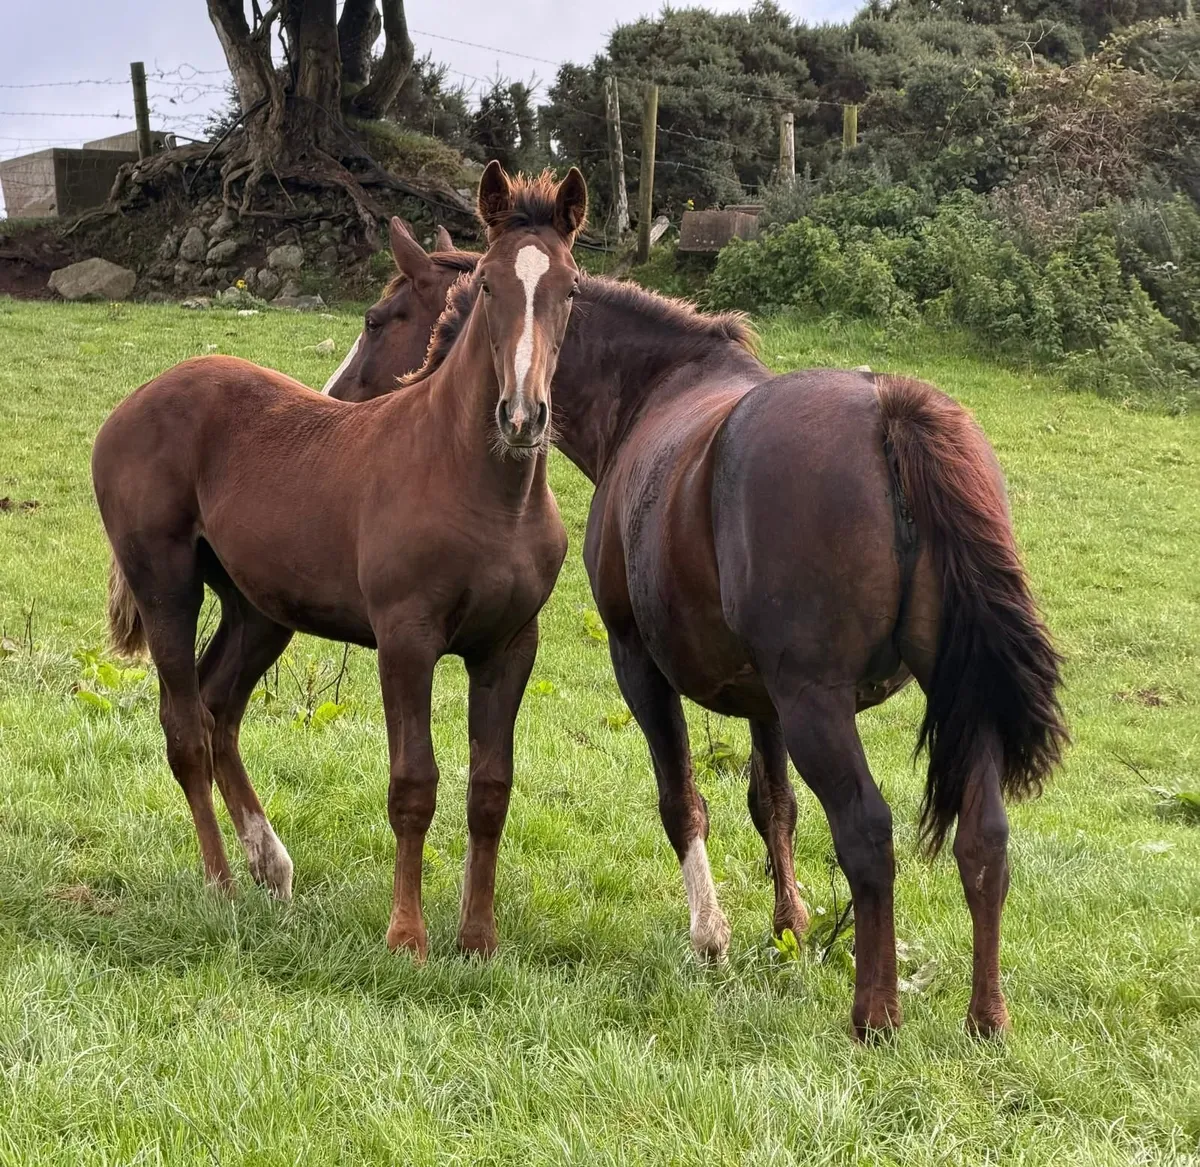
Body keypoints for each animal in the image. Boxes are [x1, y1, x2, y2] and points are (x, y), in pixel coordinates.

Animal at [91, 161, 588, 959]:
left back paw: (272, 865)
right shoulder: (406, 640)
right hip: (166, 586)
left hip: (260, 610)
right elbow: (413, 784)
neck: (481, 487)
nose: (522, 416)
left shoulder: (511, 645)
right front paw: (406, 936)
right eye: (487, 284)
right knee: (184, 725)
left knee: (217, 705)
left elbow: (491, 788)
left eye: (571, 288)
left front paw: (478, 939)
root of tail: (132, 403)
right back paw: (221, 883)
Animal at [326, 244, 1067, 1040]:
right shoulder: (768, 703)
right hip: (960, 698)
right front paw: (789, 926)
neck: (657, 388)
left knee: (869, 835)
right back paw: (986, 1016)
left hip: (821, 708)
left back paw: (875, 1011)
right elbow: (774, 804)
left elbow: (681, 799)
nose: (338, 399)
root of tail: (889, 412)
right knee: (984, 839)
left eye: (380, 319)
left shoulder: (641, 666)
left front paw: (710, 936)